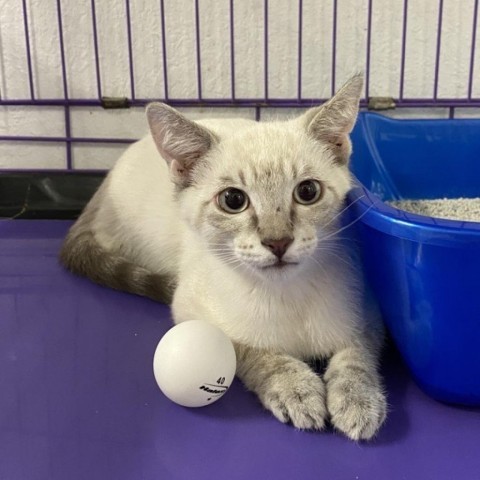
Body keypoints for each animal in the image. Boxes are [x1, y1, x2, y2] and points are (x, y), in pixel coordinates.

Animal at [60, 74, 388, 438]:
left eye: (307, 192)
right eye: (233, 200)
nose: (277, 242)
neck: (286, 295)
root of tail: (103, 183)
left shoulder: (370, 313)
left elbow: (358, 355)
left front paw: (357, 401)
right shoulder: (188, 308)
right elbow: (250, 350)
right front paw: (295, 388)